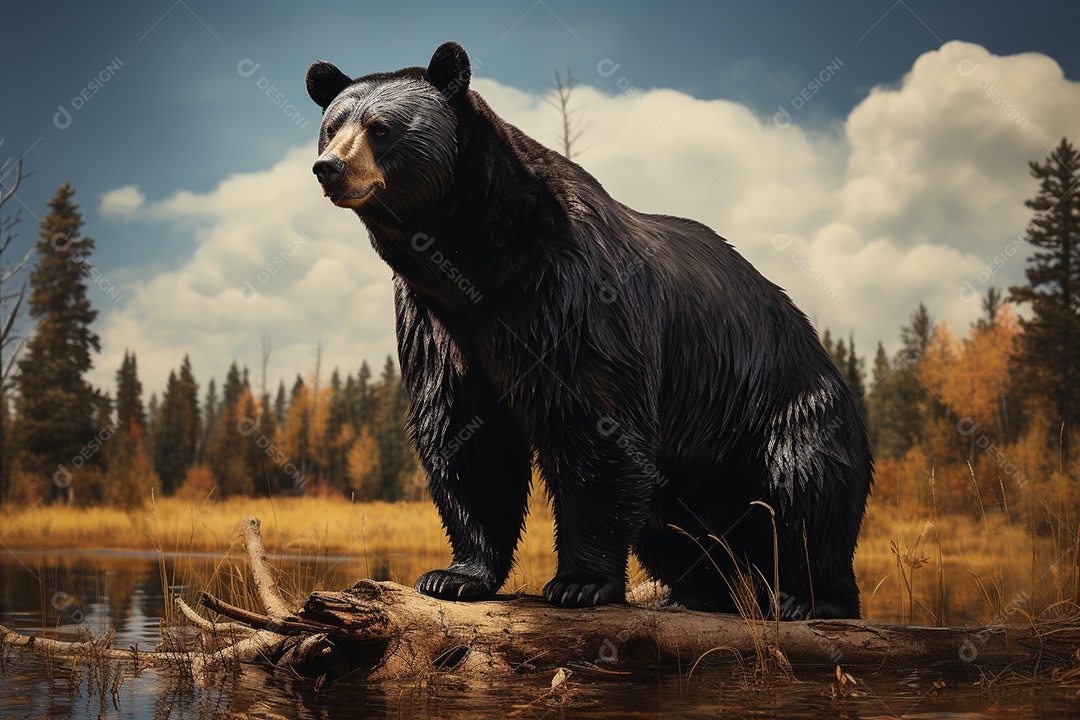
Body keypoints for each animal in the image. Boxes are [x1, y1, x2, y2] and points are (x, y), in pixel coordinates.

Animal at [305, 42, 872, 619]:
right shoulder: (436, 321)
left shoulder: (574, 299)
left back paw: (807, 597)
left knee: (804, 495)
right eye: (331, 126)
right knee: (671, 520)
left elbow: (591, 423)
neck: (482, 261)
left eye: (380, 128)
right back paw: (694, 592)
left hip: (784, 411)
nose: (329, 168)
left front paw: (579, 582)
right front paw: (454, 575)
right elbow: (465, 432)